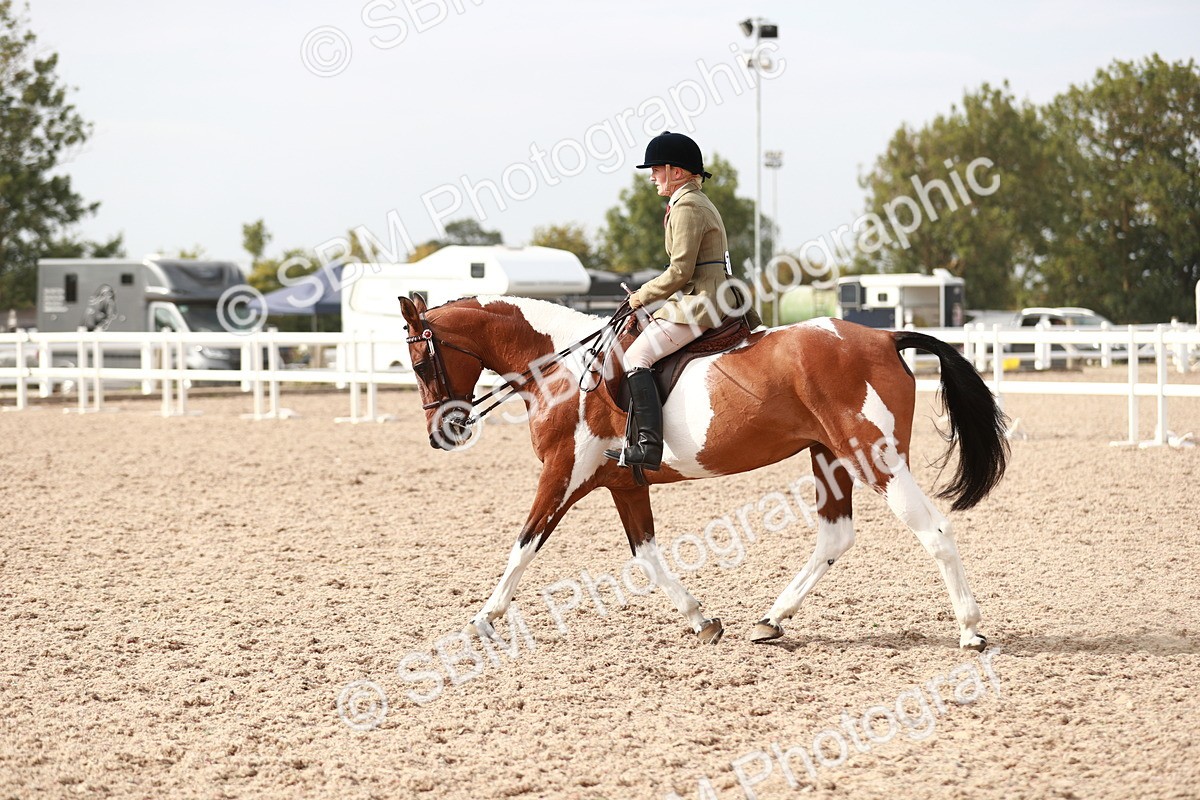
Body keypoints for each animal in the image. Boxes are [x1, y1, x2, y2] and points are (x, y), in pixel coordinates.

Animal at [398, 294, 1009, 649]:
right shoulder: (622, 484)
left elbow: (524, 545)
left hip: (872, 456)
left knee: (933, 530)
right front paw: (700, 619)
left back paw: (970, 630)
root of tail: (884, 335)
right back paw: (771, 620)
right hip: (828, 456)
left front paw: (484, 618)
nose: (441, 433)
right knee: (835, 535)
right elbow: (646, 555)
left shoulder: (563, 474)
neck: (563, 369)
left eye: (421, 361)